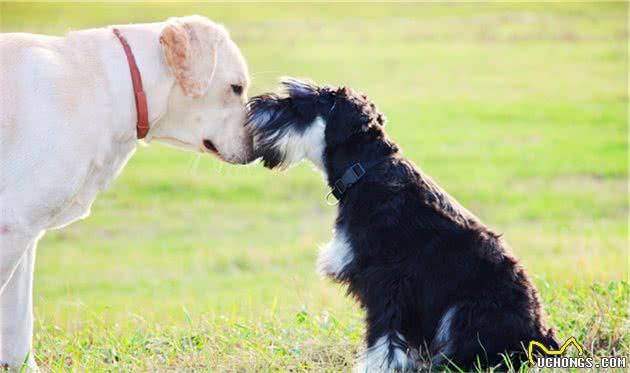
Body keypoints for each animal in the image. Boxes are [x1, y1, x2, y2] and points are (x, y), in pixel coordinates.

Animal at [0, 15, 252, 370]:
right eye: (236, 87)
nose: (258, 147)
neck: (113, 85)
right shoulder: (12, 225)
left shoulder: (23, 231)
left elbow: (19, 320)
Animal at [249, 77, 560, 370]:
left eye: (299, 103)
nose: (253, 105)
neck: (364, 172)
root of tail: (543, 337)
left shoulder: (387, 280)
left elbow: (383, 336)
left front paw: (377, 367)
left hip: (466, 311)